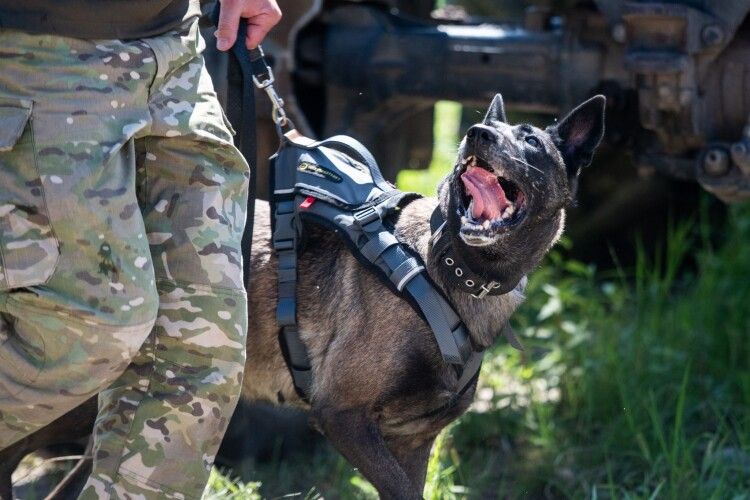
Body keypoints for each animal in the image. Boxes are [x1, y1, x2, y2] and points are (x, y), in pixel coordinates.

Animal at [0, 94, 604, 500]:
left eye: (530, 141)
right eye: (482, 134)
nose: (475, 133)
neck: (446, 270)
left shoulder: (413, 443)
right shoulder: (341, 415)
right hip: (81, 392)